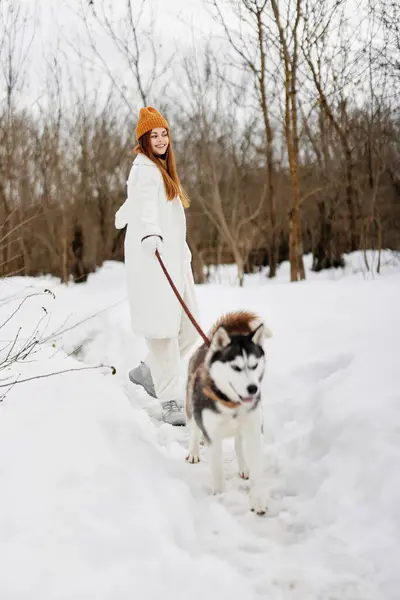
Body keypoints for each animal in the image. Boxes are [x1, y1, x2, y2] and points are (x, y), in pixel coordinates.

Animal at [184, 312, 272, 512]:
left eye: (254, 365)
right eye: (236, 367)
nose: (253, 388)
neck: (232, 405)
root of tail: (207, 344)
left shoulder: (254, 430)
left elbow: (256, 466)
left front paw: (258, 499)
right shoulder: (212, 435)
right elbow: (216, 467)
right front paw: (220, 494)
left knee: (239, 444)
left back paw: (244, 467)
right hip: (191, 408)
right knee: (194, 430)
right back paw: (194, 451)